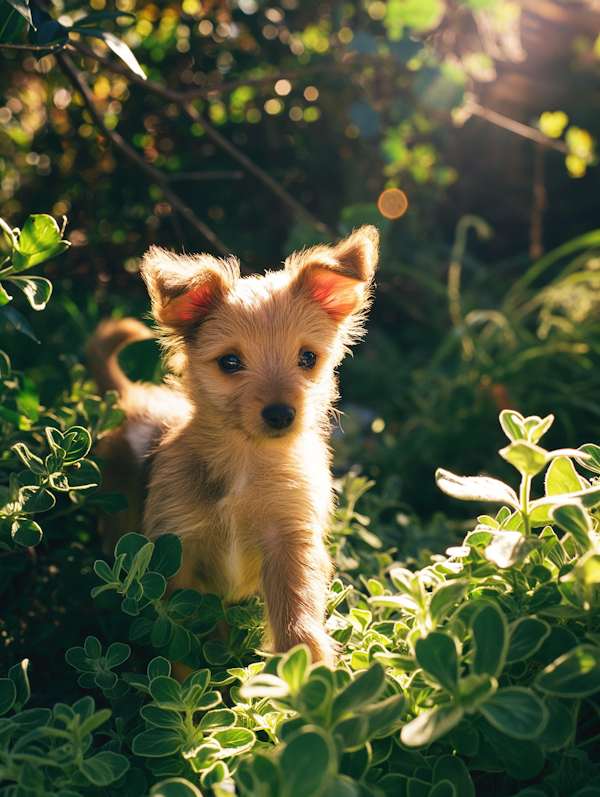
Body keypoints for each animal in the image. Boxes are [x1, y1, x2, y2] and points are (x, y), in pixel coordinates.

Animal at [88, 225, 380, 664]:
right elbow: (182, 642)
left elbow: (296, 615)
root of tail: (133, 396)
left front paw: (308, 668)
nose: (280, 414)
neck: (246, 462)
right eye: (229, 362)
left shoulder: (289, 541)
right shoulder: (176, 552)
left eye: (308, 358)